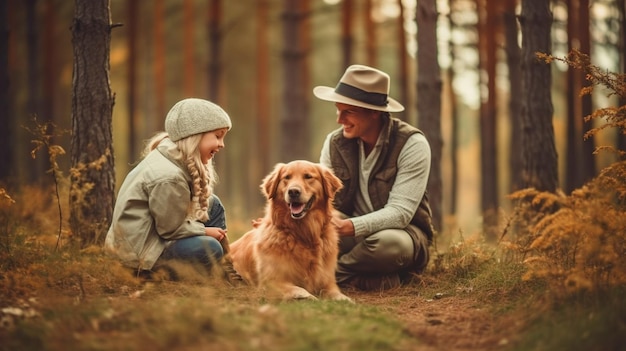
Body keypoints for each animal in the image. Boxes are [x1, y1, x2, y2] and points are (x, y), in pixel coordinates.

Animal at [229, 160, 354, 302]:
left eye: (308, 176)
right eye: (287, 177)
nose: (293, 191)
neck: (302, 233)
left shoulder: (328, 282)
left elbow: (340, 296)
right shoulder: (271, 281)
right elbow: (300, 290)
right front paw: (310, 298)